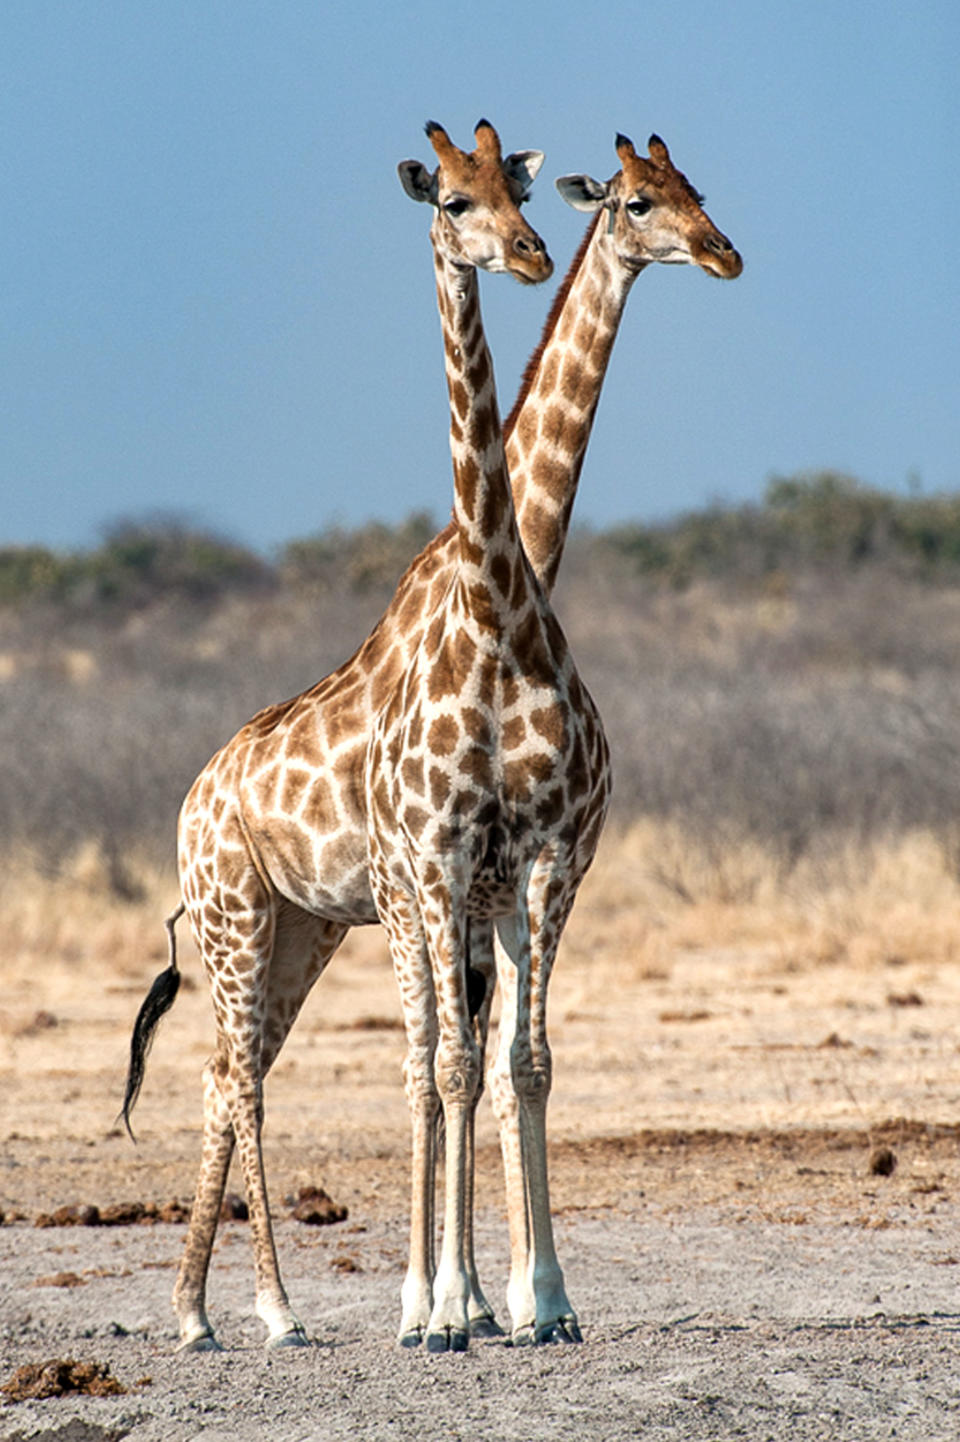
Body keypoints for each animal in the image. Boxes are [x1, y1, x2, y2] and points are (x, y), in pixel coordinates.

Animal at [125, 118, 738, 1355]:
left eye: (695, 189)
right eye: (638, 202)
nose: (723, 252)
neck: (503, 595)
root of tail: (192, 800)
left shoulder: (533, 866)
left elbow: (517, 1064)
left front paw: (533, 1299)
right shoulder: (430, 873)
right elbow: (440, 1069)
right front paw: (441, 1304)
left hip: (302, 930)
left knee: (225, 1068)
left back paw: (199, 1311)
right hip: (239, 919)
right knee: (248, 1075)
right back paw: (272, 1310)